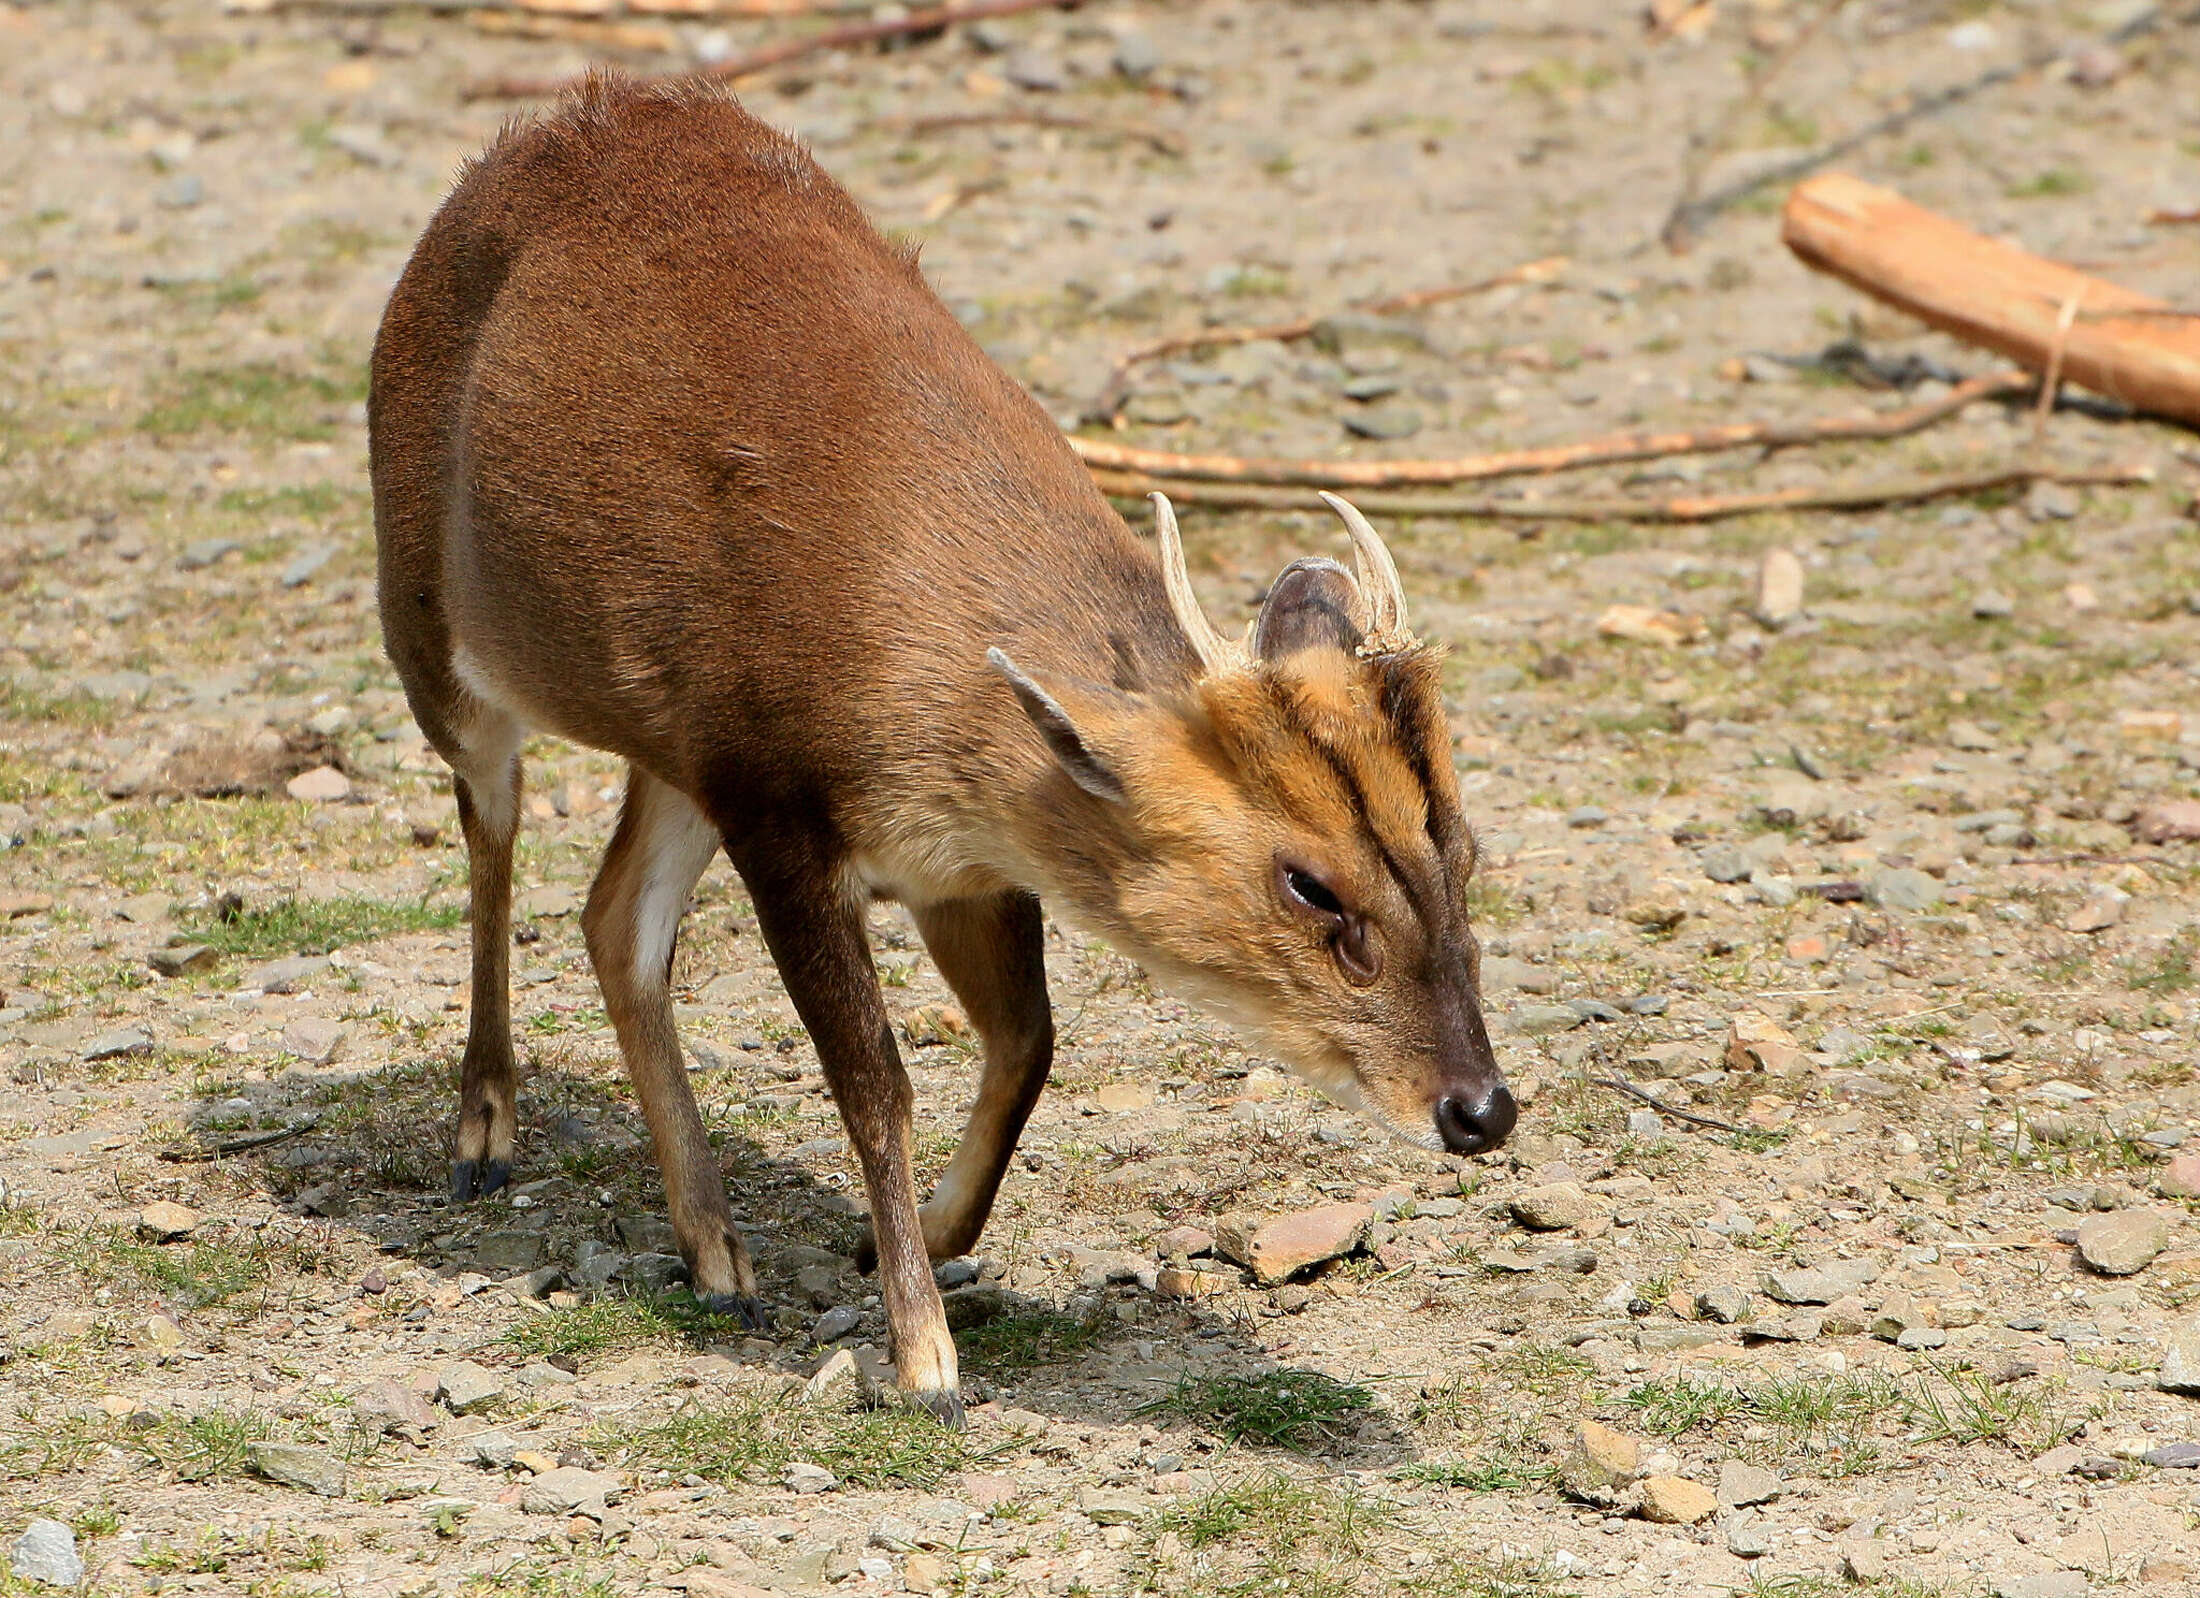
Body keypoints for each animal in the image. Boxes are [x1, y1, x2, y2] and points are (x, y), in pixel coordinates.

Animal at [369, 73, 1515, 1425]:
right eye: (1308, 882)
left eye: (1464, 844)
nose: (1480, 1107)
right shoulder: (778, 801)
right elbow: (876, 1079)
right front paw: (922, 1356)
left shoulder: (962, 853)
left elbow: (1027, 1040)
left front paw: (912, 1243)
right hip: (433, 628)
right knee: (492, 824)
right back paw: (484, 1132)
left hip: (673, 744)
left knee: (612, 918)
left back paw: (715, 1252)